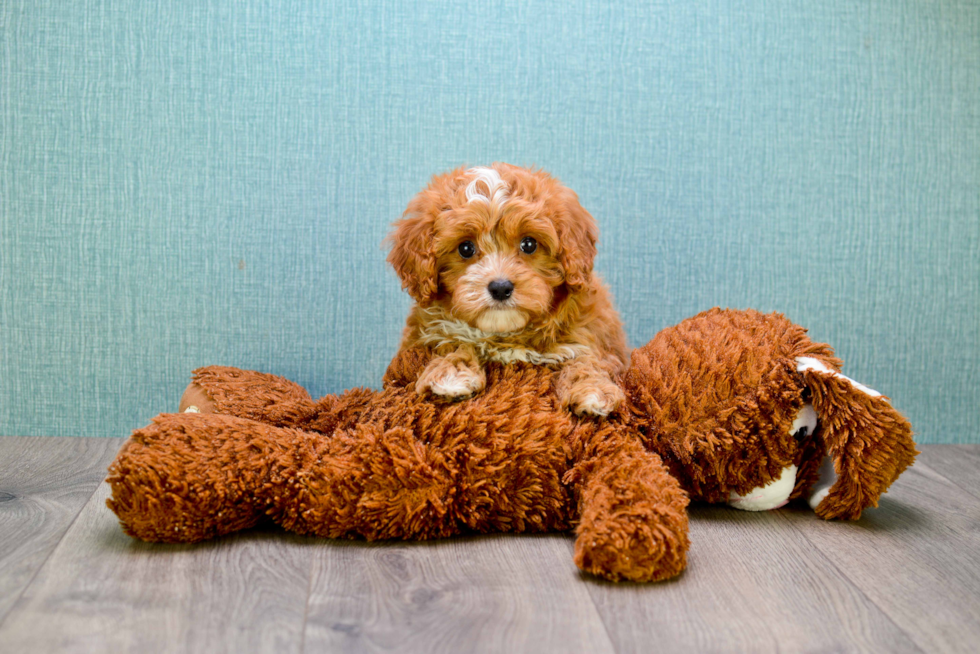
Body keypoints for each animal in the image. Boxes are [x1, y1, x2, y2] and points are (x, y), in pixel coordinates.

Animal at [384, 163, 628, 416]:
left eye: (529, 244)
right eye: (465, 248)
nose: (500, 288)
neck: (506, 334)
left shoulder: (595, 335)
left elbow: (587, 357)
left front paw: (593, 389)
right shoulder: (422, 340)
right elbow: (454, 341)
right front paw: (452, 373)